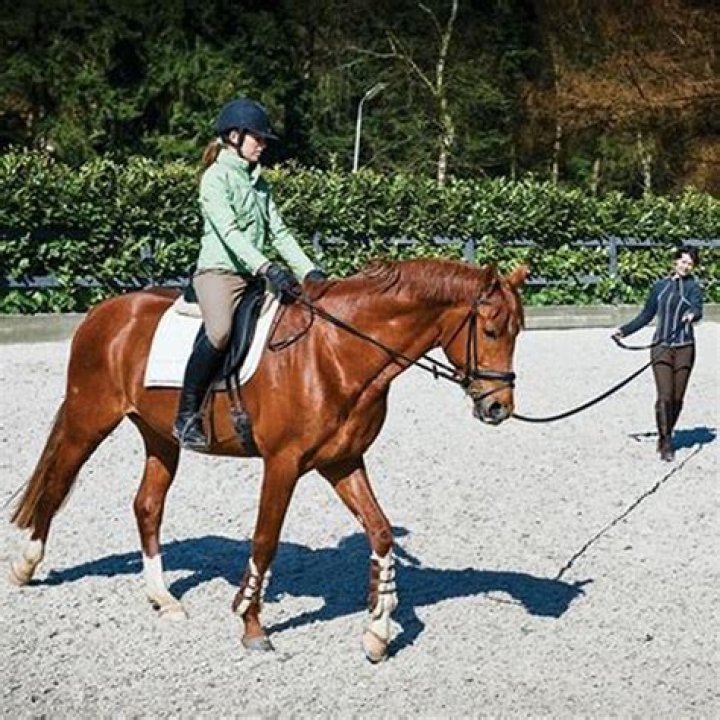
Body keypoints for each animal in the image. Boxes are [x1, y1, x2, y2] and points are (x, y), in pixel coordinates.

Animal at [8, 257, 528, 662]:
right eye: (489, 330)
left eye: (517, 331)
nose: (498, 408)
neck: (337, 353)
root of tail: (103, 311)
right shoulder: (283, 463)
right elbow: (265, 540)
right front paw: (252, 625)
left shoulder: (342, 461)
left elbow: (379, 531)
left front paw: (378, 632)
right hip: (89, 418)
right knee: (56, 483)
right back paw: (25, 567)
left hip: (159, 435)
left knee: (147, 506)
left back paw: (163, 598)